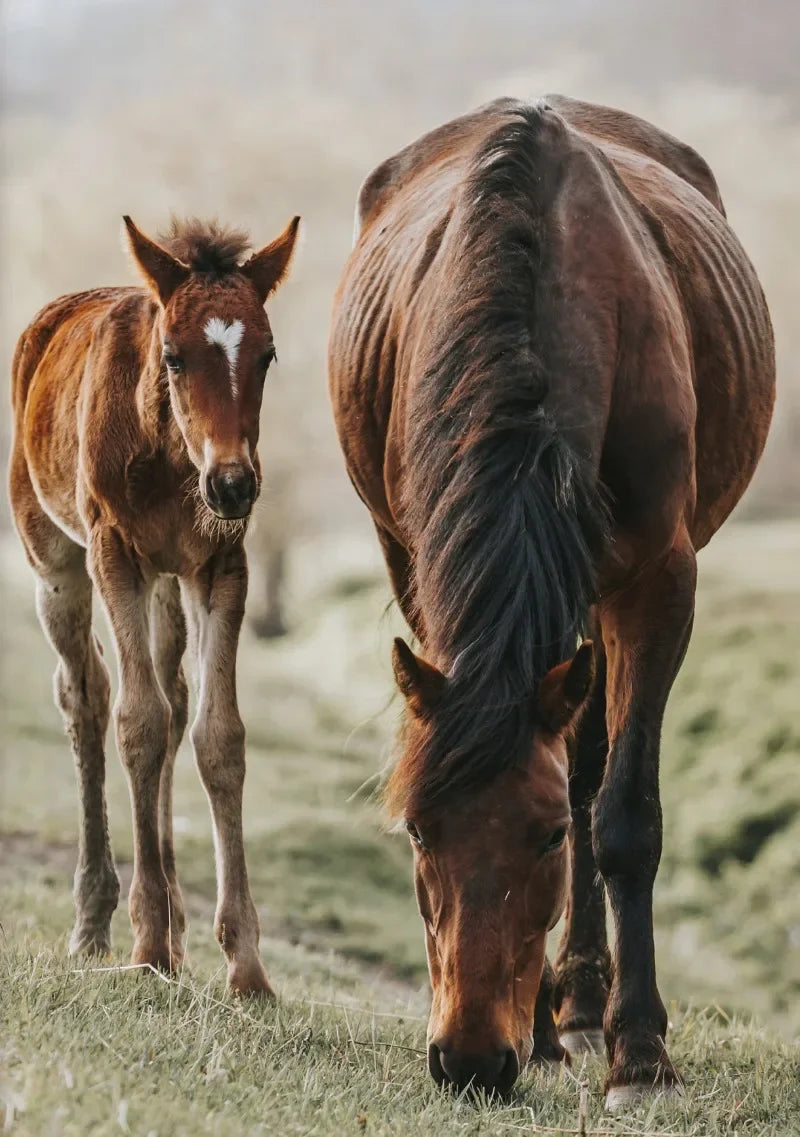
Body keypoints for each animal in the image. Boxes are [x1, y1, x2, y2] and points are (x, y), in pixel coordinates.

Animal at [9, 213, 300, 995]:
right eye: (173, 356)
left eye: (267, 356)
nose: (233, 485)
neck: (173, 458)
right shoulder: (116, 554)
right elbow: (135, 720)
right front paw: (144, 944)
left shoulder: (220, 566)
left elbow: (217, 735)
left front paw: (245, 966)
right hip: (56, 561)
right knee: (85, 694)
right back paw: (97, 919)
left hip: (170, 585)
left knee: (173, 698)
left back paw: (174, 924)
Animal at [328, 96, 774, 1106]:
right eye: (418, 829)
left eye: (543, 842)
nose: (468, 1059)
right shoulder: (422, 568)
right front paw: (539, 1027)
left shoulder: (658, 581)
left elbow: (620, 814)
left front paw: (639, 1052)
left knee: (591, 763)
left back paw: (588, 1003)